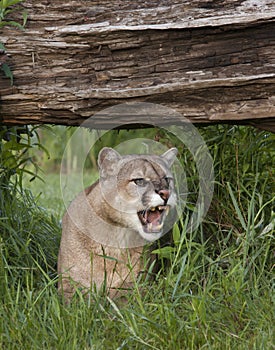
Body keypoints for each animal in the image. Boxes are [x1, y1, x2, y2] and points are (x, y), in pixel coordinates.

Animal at [58, 146, 179, 300]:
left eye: (167, 179)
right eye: (139, 181)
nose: (166, 193)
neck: (115, 237)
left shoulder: (138, 283)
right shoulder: (68, 283)